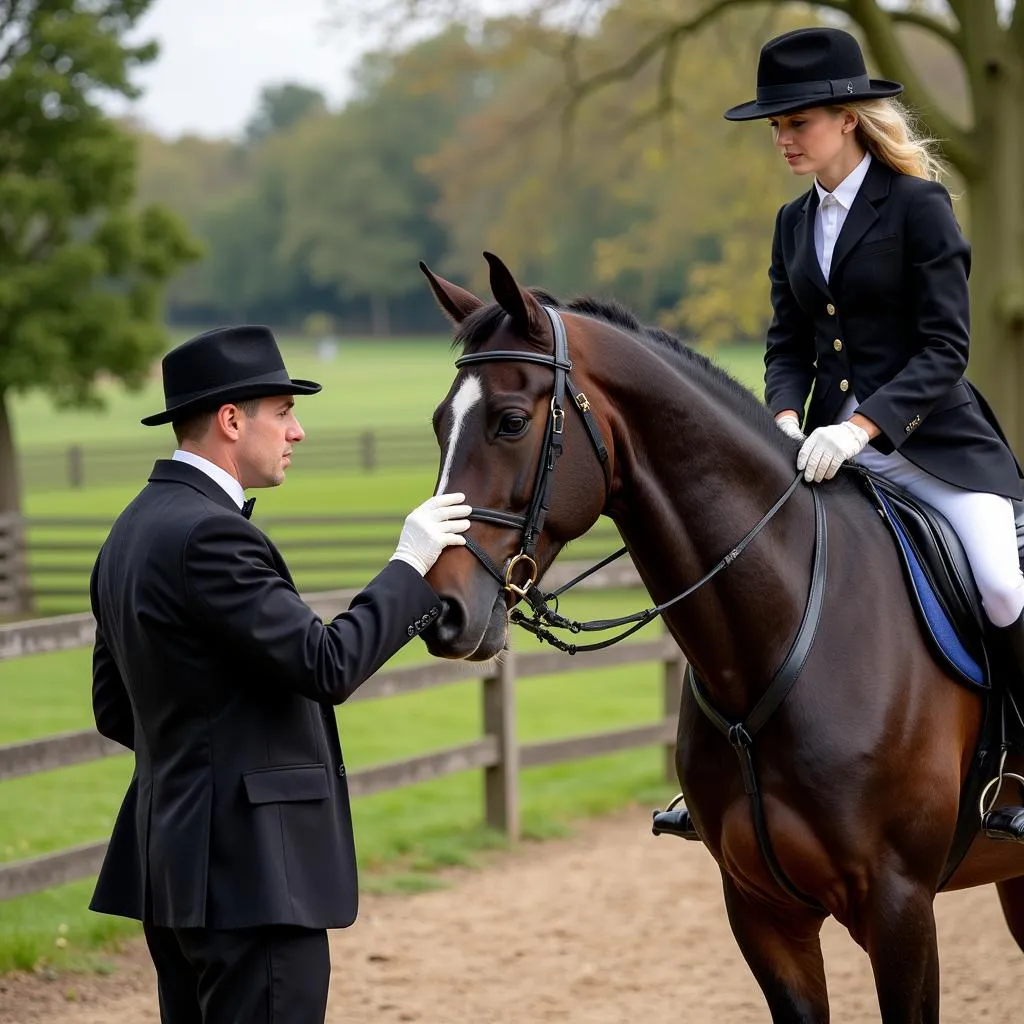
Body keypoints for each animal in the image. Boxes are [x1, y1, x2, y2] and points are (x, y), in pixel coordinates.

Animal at [417, 251, 1024, 1019]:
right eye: (441, 423)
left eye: (511, 421)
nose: (442, 611)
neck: (777, 641)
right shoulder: (761, 911)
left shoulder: (902, 908)